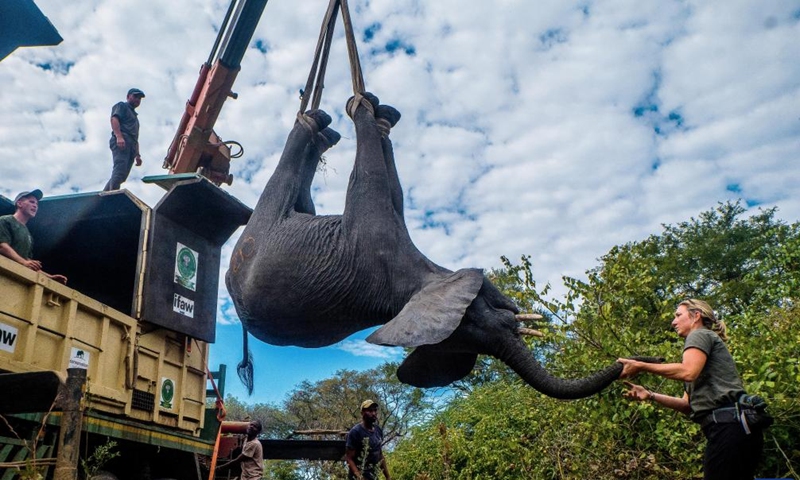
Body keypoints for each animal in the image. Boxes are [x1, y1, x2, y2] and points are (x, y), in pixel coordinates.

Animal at [226, 92, 658, 398]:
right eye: (480, 321)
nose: (640, 361)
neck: (414, 284)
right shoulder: (374, 239)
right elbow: (373, 180)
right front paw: (361, 107)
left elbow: (395, 186)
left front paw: (382, 117)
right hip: (258, 230)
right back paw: (317, 121)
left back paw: (325, 129)